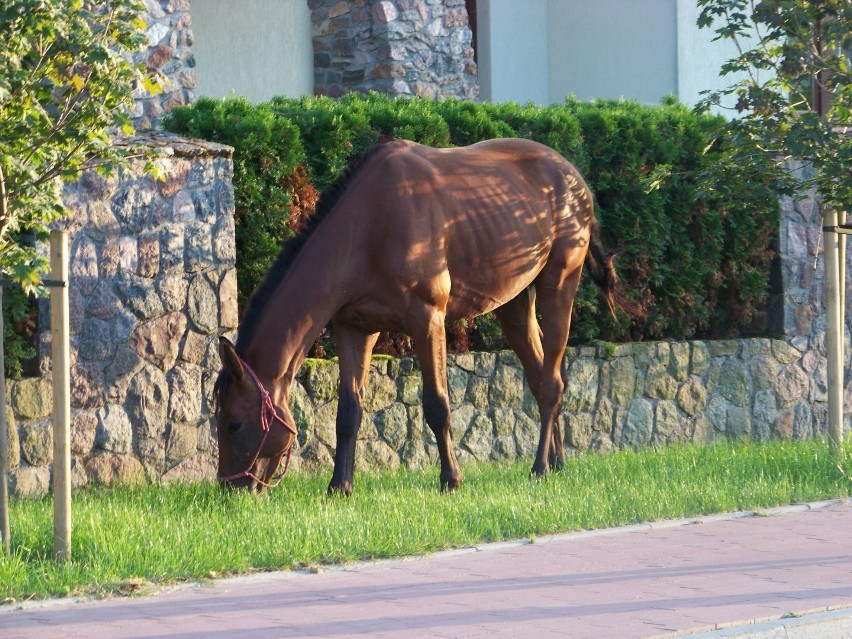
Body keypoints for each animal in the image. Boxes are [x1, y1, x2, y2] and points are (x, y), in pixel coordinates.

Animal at [213, 136, 620, 496]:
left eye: (233, 424)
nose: (230, 489)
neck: (371, 225)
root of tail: (573, 177)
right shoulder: (354, 328)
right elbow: (348, 411)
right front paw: (340, 486)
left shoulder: (428, 321)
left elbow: (437, 405)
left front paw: (450, 480)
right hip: (515, 303)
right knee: (540, 378)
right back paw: (556, 462)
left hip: (559, 284)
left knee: (551, 382)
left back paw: (539, 468)